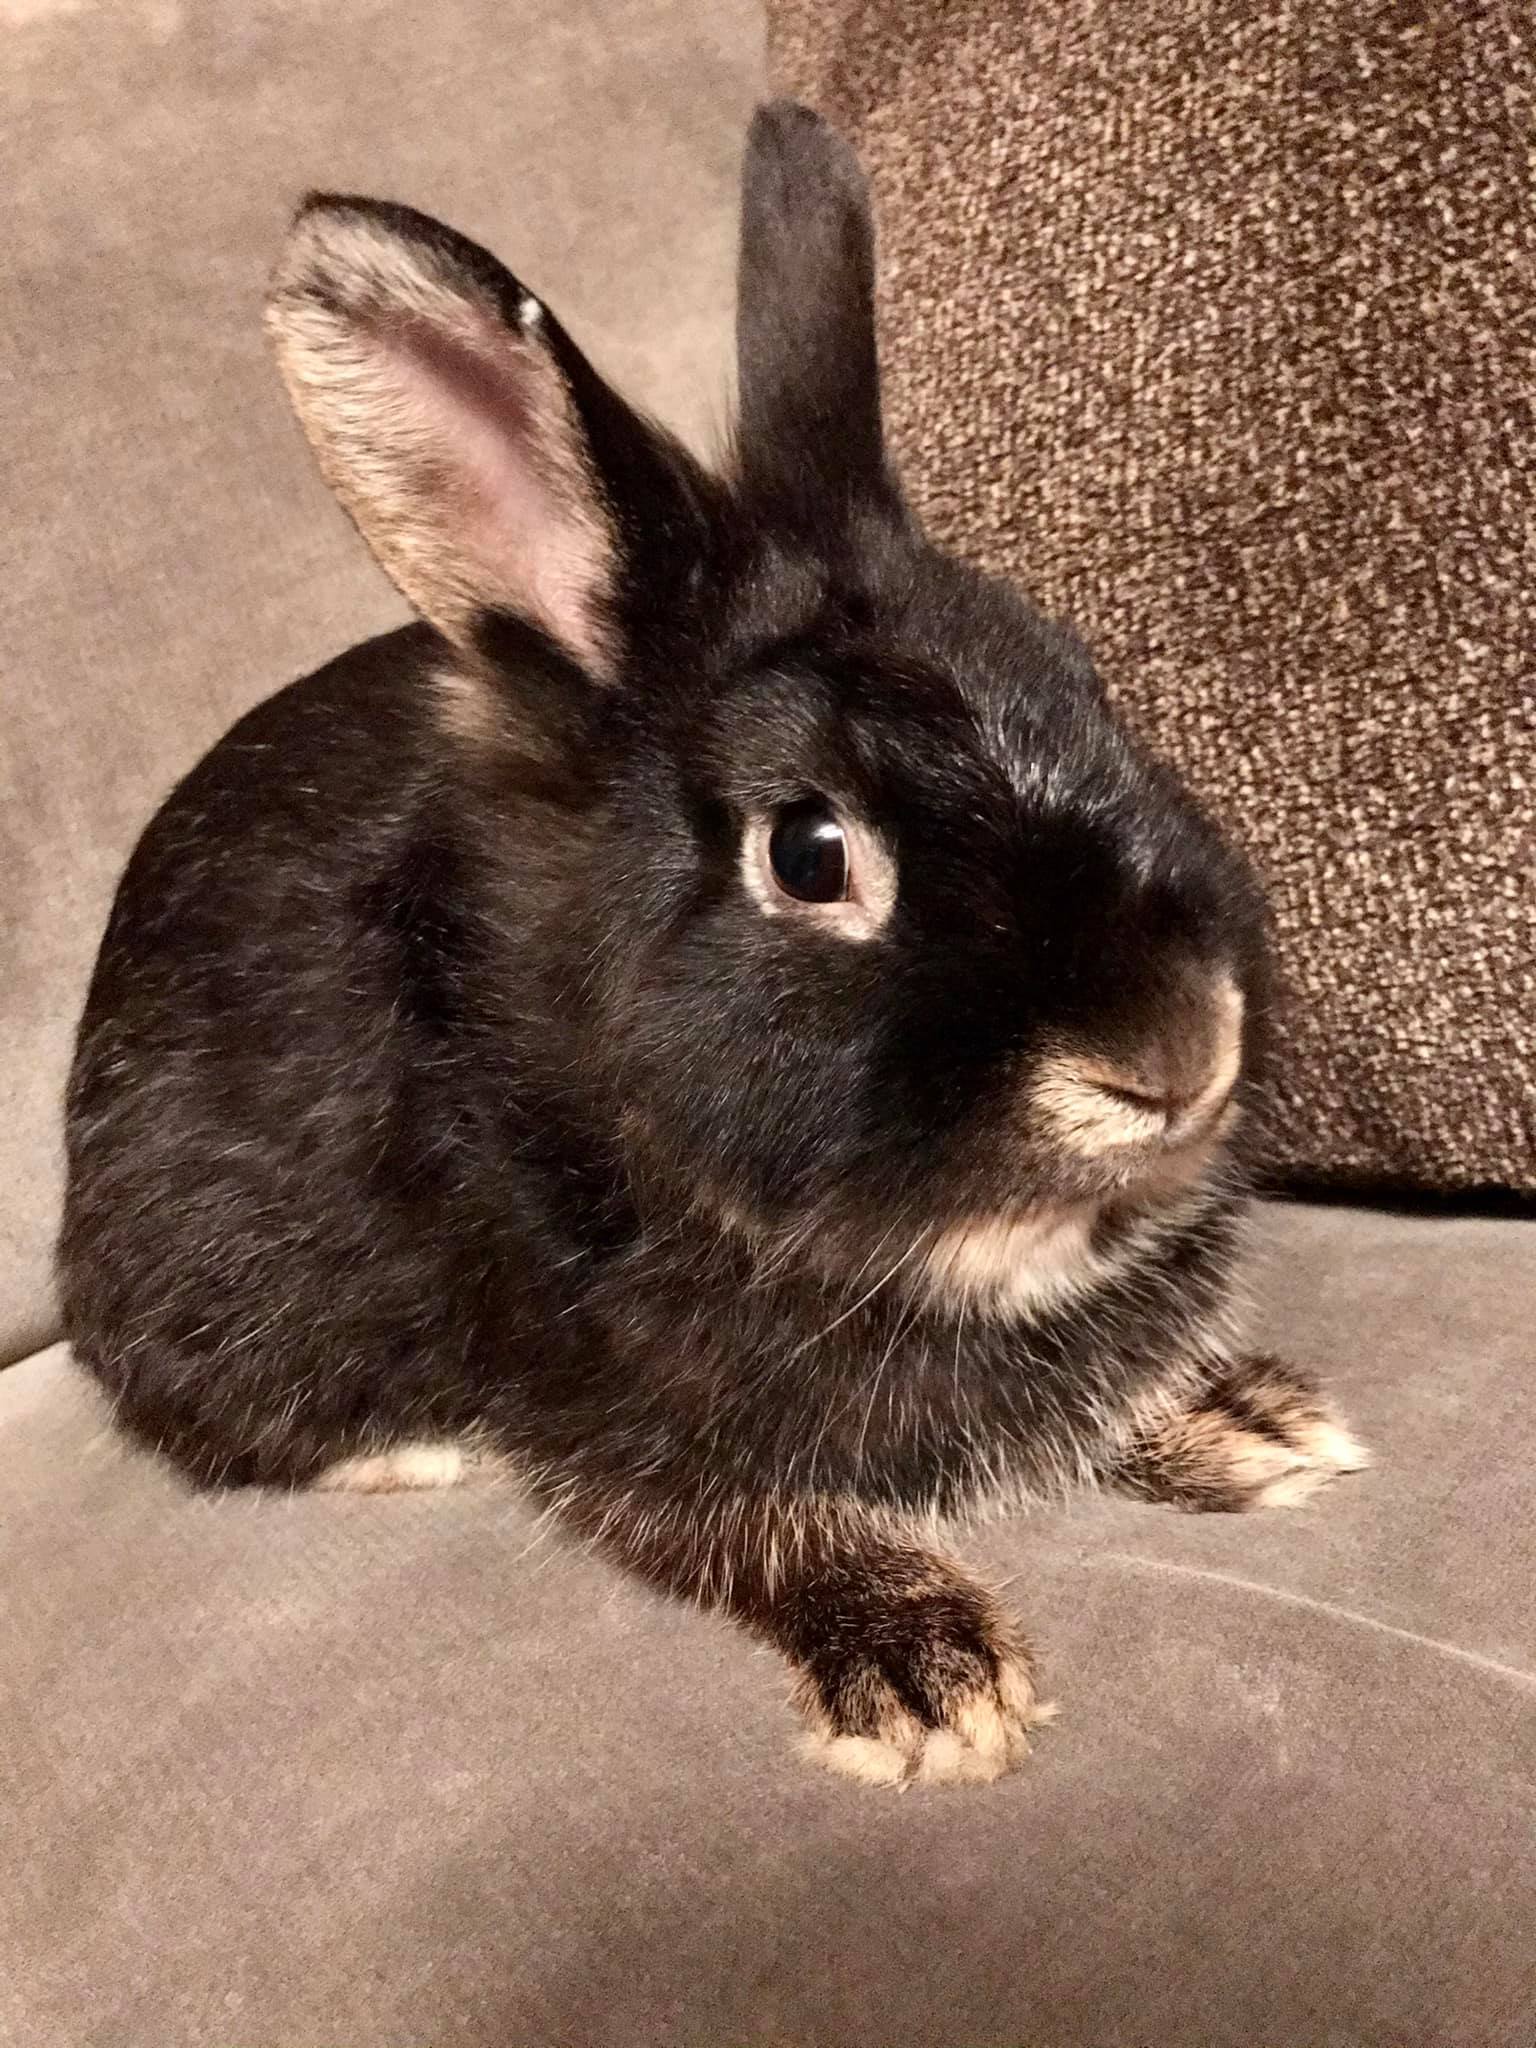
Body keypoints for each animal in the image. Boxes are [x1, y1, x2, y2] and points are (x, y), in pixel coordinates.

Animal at [58, 100, 1366, 1787]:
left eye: (1090, 691)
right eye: (810, 854)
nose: (1176, 1049)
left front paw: (1247, 1420)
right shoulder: (602, 1405)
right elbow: (751, 1521)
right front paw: (929, 1676)